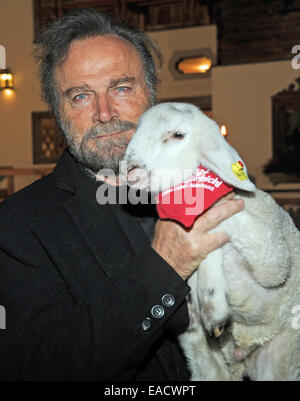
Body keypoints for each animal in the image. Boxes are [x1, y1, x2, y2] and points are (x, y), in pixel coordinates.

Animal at [123, 101, 300, 380]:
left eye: (178, 135)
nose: (131, 172)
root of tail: (243, 356)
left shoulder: (274, 258)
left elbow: (217, 218)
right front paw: (212, 306)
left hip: (281, 355)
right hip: (207, 363)